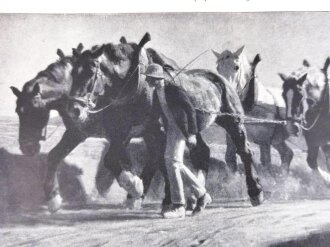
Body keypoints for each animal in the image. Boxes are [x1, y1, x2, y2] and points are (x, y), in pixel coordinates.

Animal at [69, 32, 262, 206]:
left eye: (91, 72)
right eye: (72, 73)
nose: (74, 110)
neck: (137, 85)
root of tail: (224, 82)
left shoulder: (159, 132)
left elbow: (163, 162)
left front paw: (163, 197)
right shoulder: (126, 133)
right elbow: (111, 158)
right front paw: (136, 188)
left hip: (232, 121)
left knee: (244, 151)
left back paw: (255, 192)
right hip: (192, 127)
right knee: (202, 152)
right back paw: (197, 195)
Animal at [213, 46, 292, 174]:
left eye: (236, 67)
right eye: (218, 68)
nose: (224, 92)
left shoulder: (265, 140)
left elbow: (266, 163)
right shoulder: (233, 135)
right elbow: (230, 159)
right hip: (278, 139)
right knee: (288, 154)